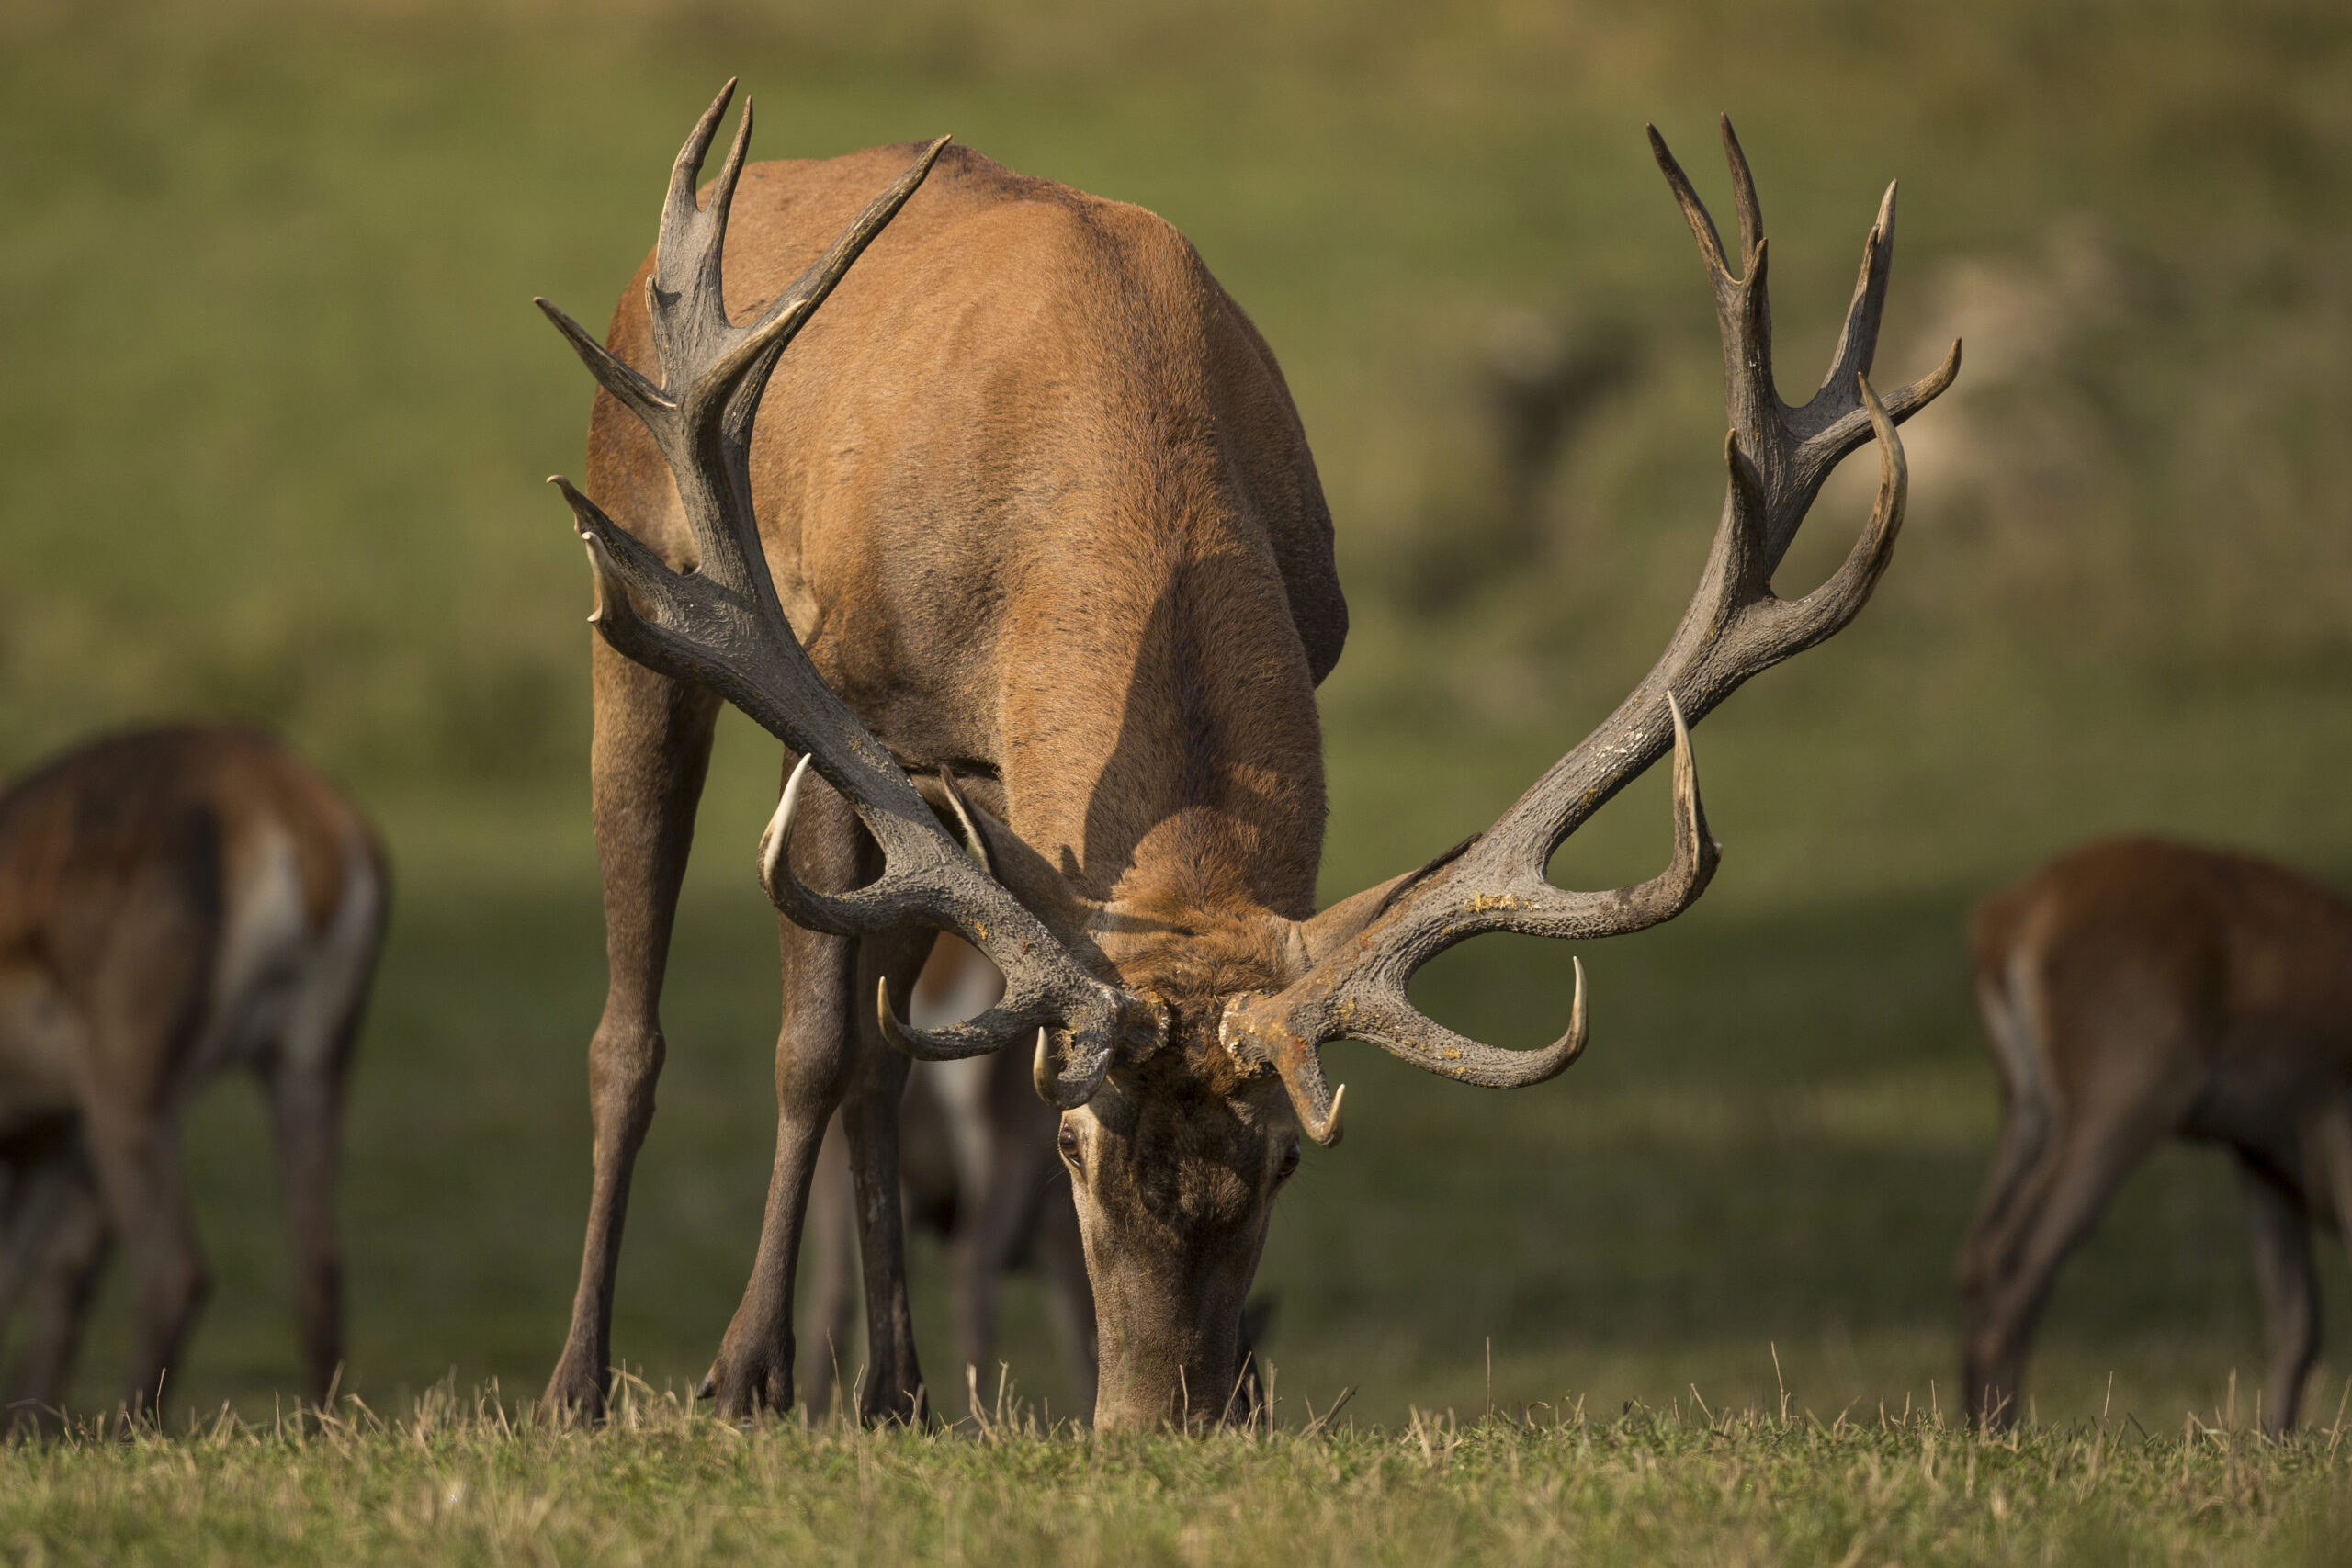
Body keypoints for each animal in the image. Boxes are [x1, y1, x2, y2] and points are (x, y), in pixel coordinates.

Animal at [0, 725, 385, 1428]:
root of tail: (297, 816)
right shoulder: (57, 1132)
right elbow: (54, 1272)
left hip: (131, 1082)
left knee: (173, 1271)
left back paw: (124, 1433)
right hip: (310, 1066)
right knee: (320, 1264)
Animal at [533, 81, 1958, 1430]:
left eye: (1281, 1161)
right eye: (1074, 1147)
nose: (1161, 1417)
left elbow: (883, 1051)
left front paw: (869, 1388)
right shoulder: (845, 689)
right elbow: (812, 1049)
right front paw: (743, 1377)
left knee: (892, 1057)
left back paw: (897, 1392)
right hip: (648, 599)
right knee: (636, 1027)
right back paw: (584, 1381)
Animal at [1960, 836, 2352, 1435]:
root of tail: (2010, 916)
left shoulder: (2262, 1150)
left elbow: (2296, 1320)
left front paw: (2273, 1440)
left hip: (2028, 1107)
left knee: (1977, 1252)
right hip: (2131, 1078)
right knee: (2015, 1257)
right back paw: (1999, 1430)